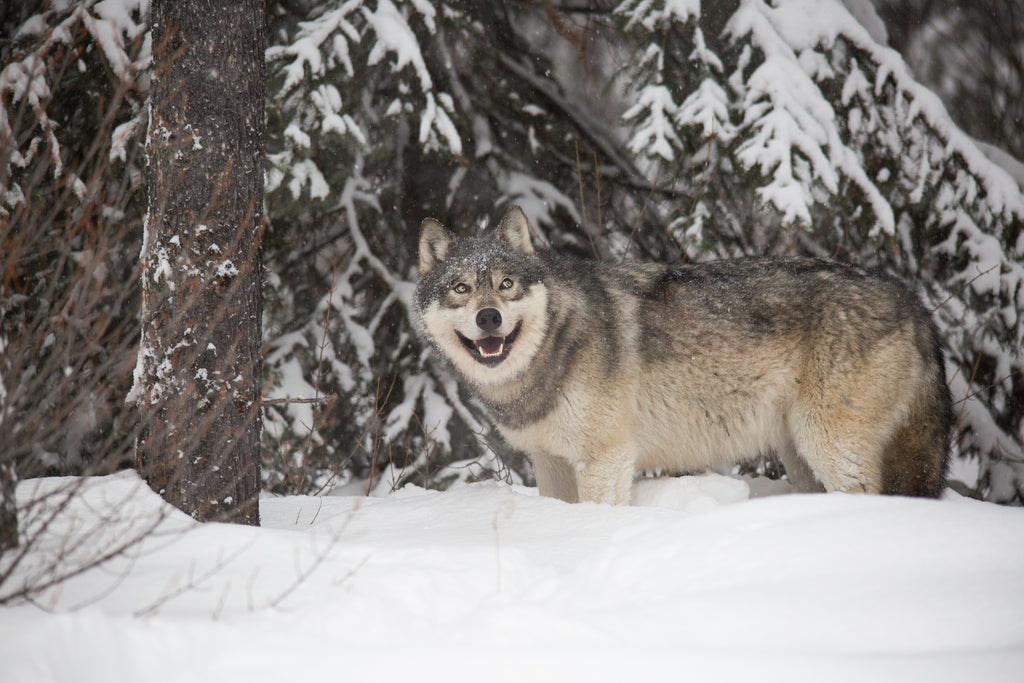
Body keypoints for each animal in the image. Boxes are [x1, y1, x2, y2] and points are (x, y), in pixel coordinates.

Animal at [414, 205, 952, 504]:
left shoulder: (606, 459)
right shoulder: (550, 463)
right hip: (799, 454)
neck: (556, 344)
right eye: (461, 289)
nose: (489, 318)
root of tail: (912, 299)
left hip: (827, 444)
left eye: (506, 285)